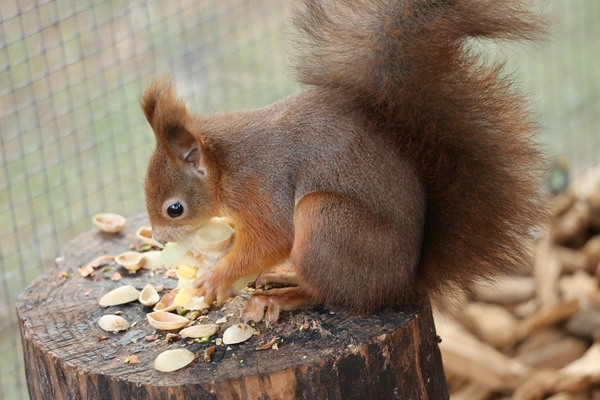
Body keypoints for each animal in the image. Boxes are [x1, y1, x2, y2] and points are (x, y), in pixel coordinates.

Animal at [141, 0, 546, 324]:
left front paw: (215, 279)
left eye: (174, 209)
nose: (159, 240)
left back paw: (281, 296)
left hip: (328, 222)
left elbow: (273, 237)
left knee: (329, 293)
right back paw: (284, 275)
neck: (226, 164)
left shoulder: (262, 186)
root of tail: (401, 283)